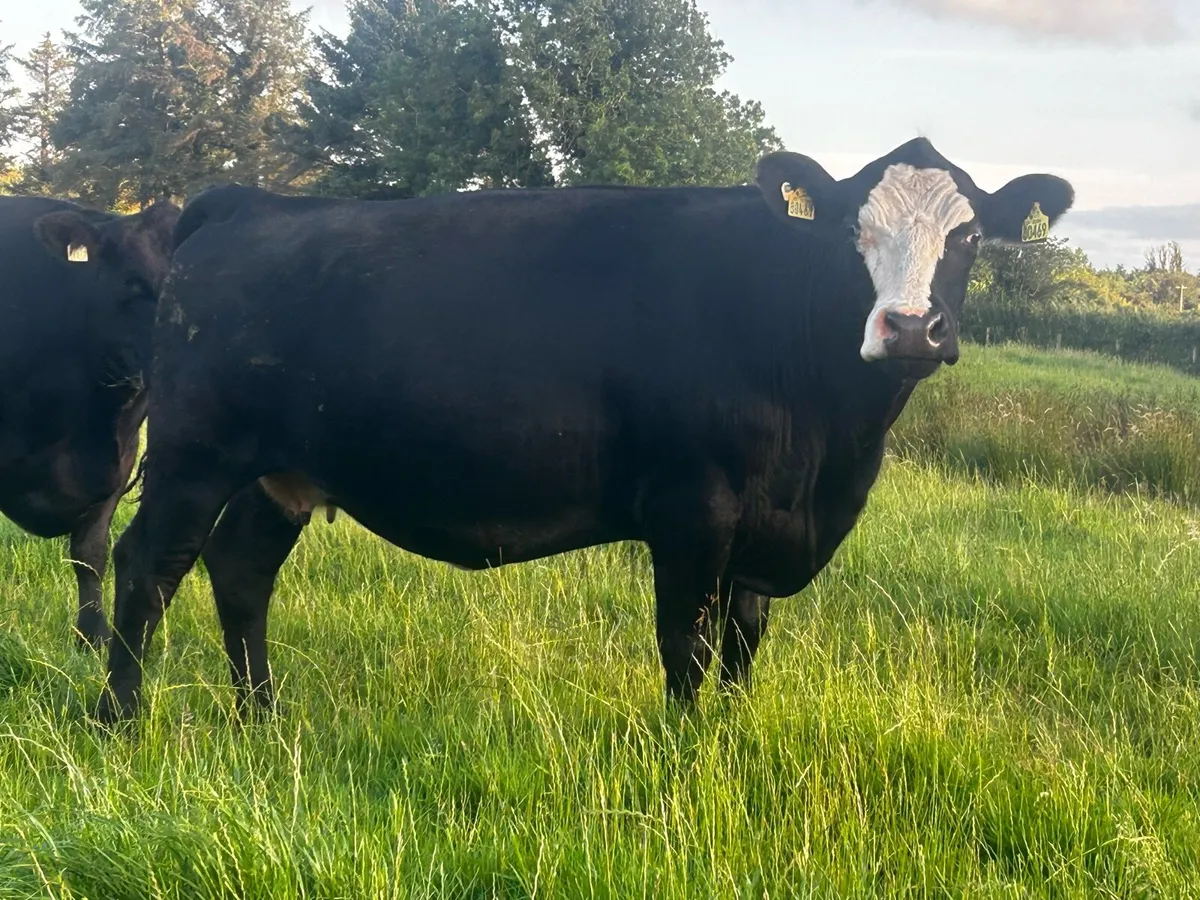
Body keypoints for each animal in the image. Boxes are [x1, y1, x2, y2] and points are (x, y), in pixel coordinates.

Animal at [94, 137, 1073, 723]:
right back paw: (123, 722)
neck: (827, 460)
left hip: (286, 470)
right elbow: (688, 644)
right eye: (848, 233)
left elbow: (743, 645)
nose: (909, 328)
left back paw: (262, 718)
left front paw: (734, 740)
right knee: (148, 568)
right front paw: (687, 759)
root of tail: (251, 202)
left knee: (240, 569)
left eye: (970, 238)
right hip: (194, 454)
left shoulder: (764, 527)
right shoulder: (694, 509)